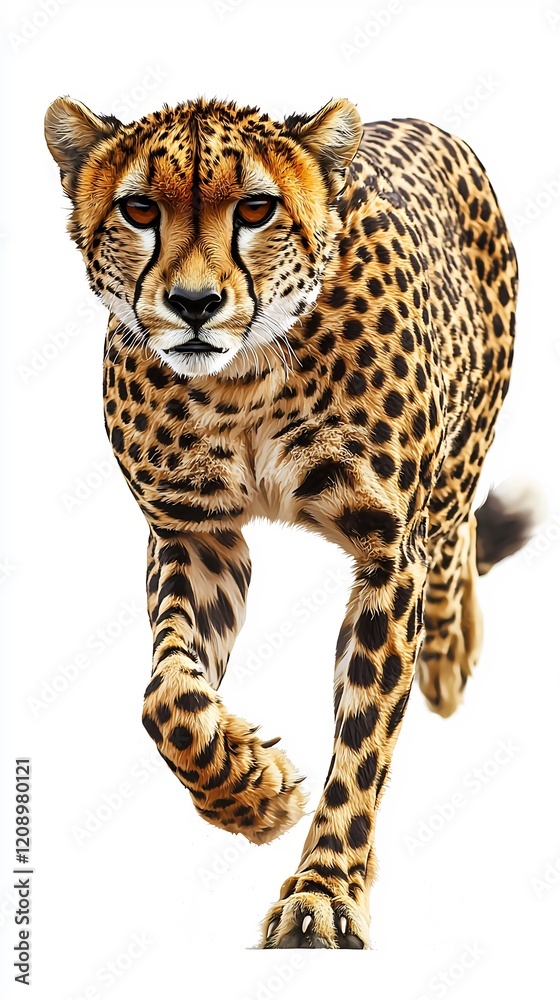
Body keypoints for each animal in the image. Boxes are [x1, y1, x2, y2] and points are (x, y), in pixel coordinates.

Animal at [45, 95, 534, 950]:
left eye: (256, 209)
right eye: (138, 210)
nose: (195, 307)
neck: (242, 380)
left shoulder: (387, 554)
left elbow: (364, 735)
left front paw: (325, 891)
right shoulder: (196, 534)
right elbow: (167, 698)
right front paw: (252, 790)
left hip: (455, 460)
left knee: (456, 532)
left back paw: (449, 652)